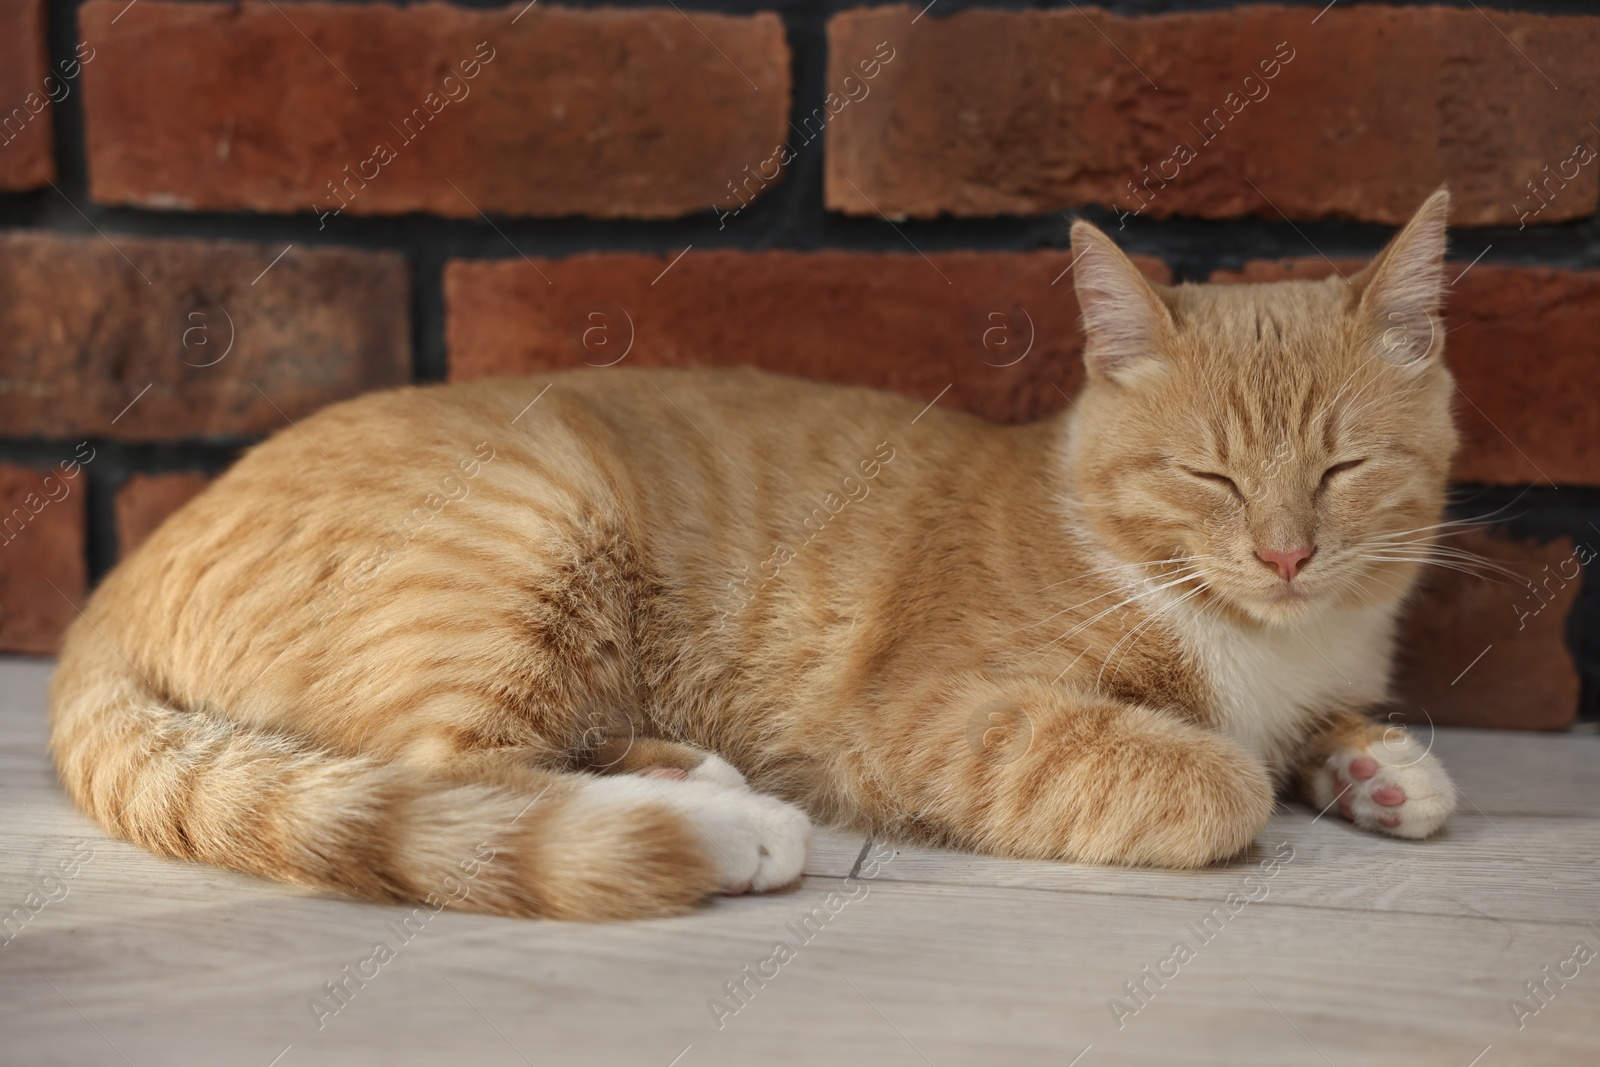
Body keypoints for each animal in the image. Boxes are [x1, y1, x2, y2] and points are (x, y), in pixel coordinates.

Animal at [50, 189, 1459, 921]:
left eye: (1341, 469)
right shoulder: (930, 715)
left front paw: (1377, 764)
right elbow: (1214, 773)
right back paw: (723, 826)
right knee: (453, 773)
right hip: (529, 523)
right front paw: (1265, 765)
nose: (1284, 554)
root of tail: (115, 583)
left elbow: (1340, 735)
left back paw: (694, 772)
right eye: (1204, 475)